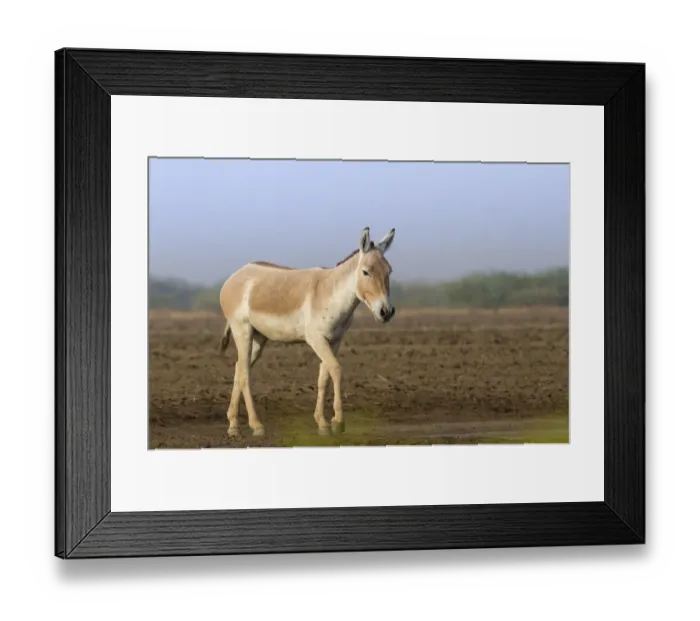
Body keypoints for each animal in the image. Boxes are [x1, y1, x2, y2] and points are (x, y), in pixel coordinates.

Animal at [219, 227, 396, 438]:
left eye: (389, 271)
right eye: (366, 272)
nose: (386, 312)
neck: (330, 293)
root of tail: (234, 276)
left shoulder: (334, 340)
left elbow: (324, 377)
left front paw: (323, 423)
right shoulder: (316, 339)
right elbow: (336, 369)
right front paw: (338, 422)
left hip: (259, 338)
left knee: (239, 368)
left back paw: (233, 425)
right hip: (242, 330)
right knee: (245, 374)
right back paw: (257, 425)